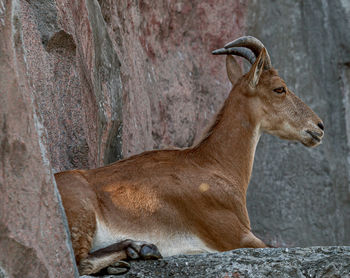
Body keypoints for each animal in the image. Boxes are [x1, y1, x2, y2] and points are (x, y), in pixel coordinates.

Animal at [55, 35, 326, 274]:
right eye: (280, 89)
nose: (319, 126)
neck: (213, 164)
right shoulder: (236, 236)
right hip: (81, 211)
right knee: (80, 262)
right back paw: (140, 248)